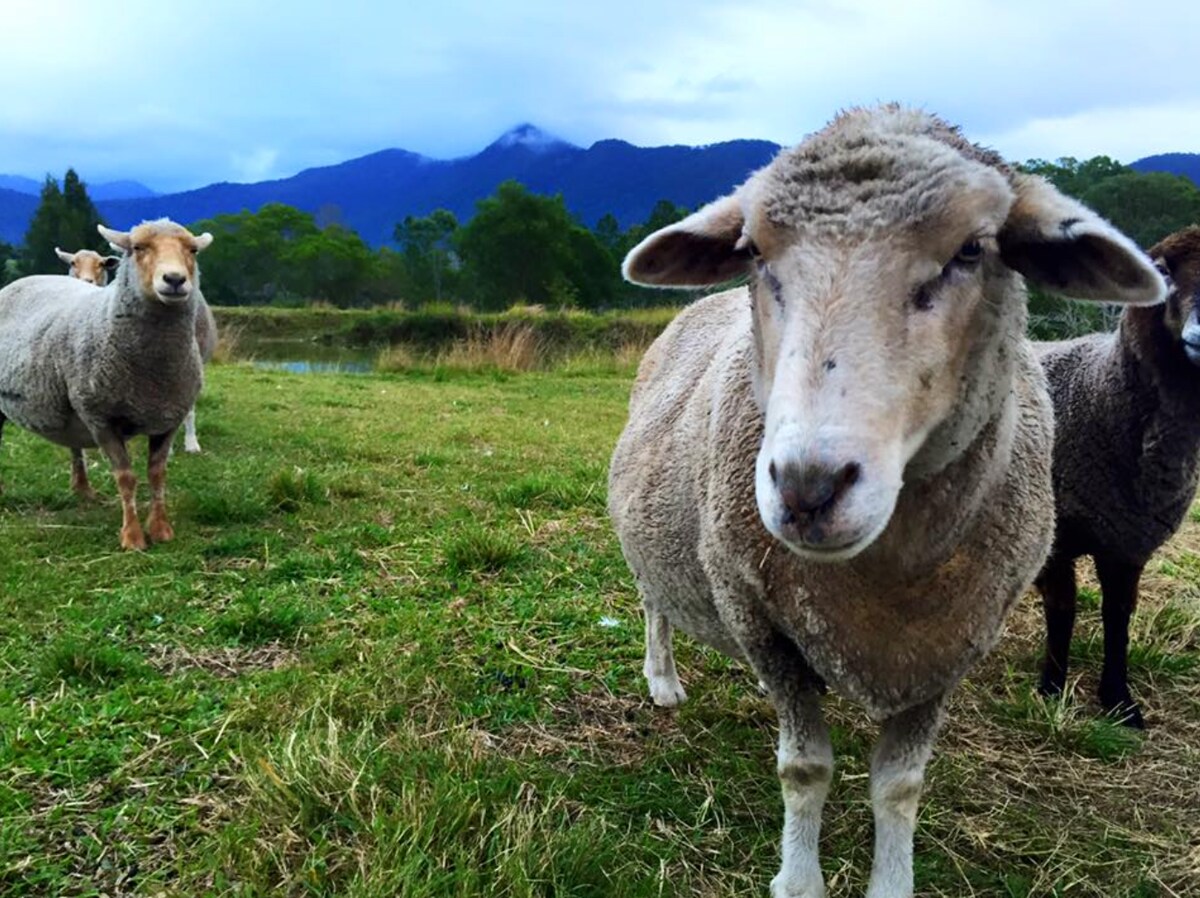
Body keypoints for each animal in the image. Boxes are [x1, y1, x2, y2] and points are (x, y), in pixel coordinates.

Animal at [0, 220, 213, 549]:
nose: (175, 279)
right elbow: (126, 477)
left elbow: (157, 474)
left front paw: (161, 529)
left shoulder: (168, 417)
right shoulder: (100, 417)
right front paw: (133, 536)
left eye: (192, 250)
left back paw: (83, 489)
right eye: (137, 248)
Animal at [609, 106, 1161, 897]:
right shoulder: (760, 620)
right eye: (755, 254)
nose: (807, 486)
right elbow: (805, 768)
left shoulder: (951, 643)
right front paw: (798, 879)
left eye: (972, 250)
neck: (888, 574)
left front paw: (891, 879)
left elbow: (899, 785)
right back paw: (663, 680)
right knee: (655, 598)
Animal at [1032, 225, 1200, 729]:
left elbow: (1118, 617)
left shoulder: (1128, 543)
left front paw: (1120, 701)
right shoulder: (1057, 538)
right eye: (1162, 269)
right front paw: (1051, 688)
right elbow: (1063, 610)